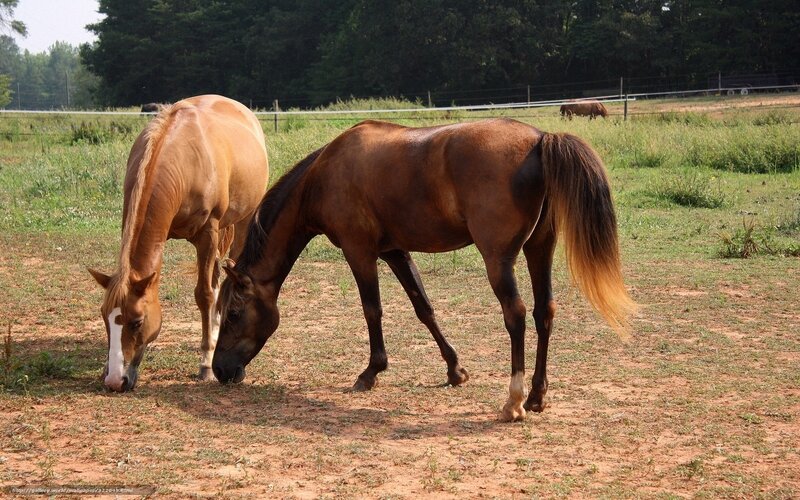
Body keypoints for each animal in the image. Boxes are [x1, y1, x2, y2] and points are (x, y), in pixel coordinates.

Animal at [88, 94, 269, 392]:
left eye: (137, 322)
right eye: (104, 317)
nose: (115, 380)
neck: (180, 161)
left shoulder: (208, 234)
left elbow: (205, 294)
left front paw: (206, 363)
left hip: (242, 221)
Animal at [213, 118, 635, 421]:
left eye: (233, 313)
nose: (220, 370)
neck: (324, 175)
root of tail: (540, 139)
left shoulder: (359, 251)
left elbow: (372, 310)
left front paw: (371, 372)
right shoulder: (395, 252)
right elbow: (424, 307)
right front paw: (455, 370)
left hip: (499, 260)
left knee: (515, 315)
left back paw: (513, 402)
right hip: (539, 250)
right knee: (543, 311)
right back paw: (535, 396)